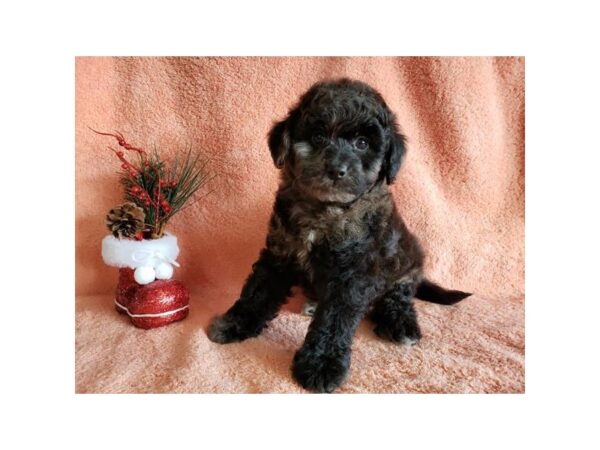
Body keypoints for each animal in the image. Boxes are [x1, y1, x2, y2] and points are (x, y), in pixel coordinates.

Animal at [209, 79, 472, 392]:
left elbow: (334, 320)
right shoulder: (279, 254)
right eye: (318, 136)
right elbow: (257, 293)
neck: (325, 210)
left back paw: (401, 324)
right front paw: (234, 323)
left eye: (362, 143)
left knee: (399, 298)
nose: (336, 170)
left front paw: (321, 365)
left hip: (407, 264)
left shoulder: (352, 275)